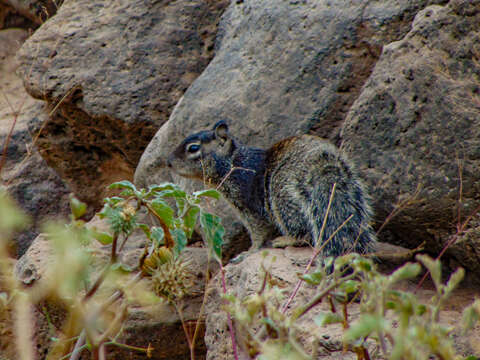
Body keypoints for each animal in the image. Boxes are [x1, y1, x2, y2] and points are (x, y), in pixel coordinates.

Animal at [167, 121, 376, 256]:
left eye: (193, 148)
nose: (168, 162)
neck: (233, 163)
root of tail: (323, 164)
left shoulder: (249, 206)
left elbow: (258, 232)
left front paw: (249, 251)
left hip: (282, 192)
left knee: (303, 231)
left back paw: (285, 240)